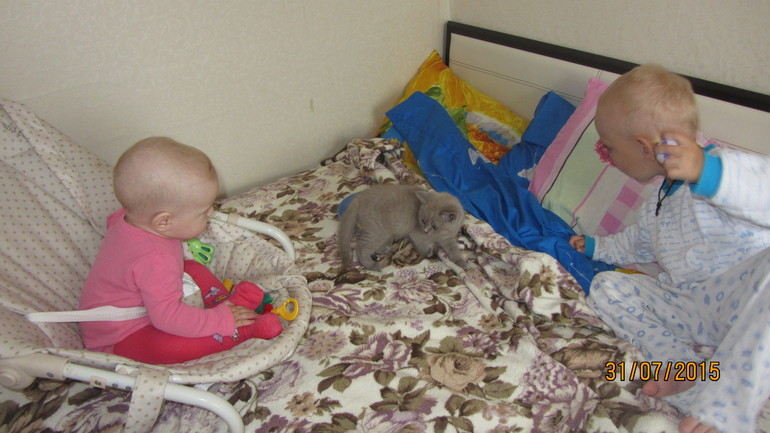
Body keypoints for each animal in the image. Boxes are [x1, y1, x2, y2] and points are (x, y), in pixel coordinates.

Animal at [338, 184, 466, 271]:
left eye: (435, 227)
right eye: (423, 221)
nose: (425, 230)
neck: (440, 235)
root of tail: (359, 197)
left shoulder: (448, 238)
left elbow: (453, 248)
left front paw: (461, 263)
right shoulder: (416, 234)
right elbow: (421, 246)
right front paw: (428, 252)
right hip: (378, 230)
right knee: (361, 248)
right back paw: (373, 265)